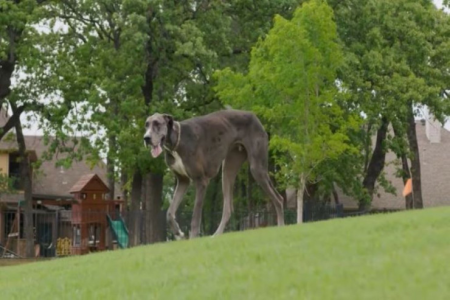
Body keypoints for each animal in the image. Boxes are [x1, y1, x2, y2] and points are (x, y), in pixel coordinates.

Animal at [144, 109, 284, 238]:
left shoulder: (201, 181)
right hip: (228, 169)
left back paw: (281, 226)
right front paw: (178, 232)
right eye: (146, 125)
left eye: (157, 123)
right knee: (228, 209)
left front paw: (193, 238)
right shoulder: (183, 180)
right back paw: (216, 235)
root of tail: (254, 116)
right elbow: (169, 212)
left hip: (257, 168)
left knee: (278, 199)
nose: (146, 138)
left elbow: (195, 216)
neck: (178, 141)